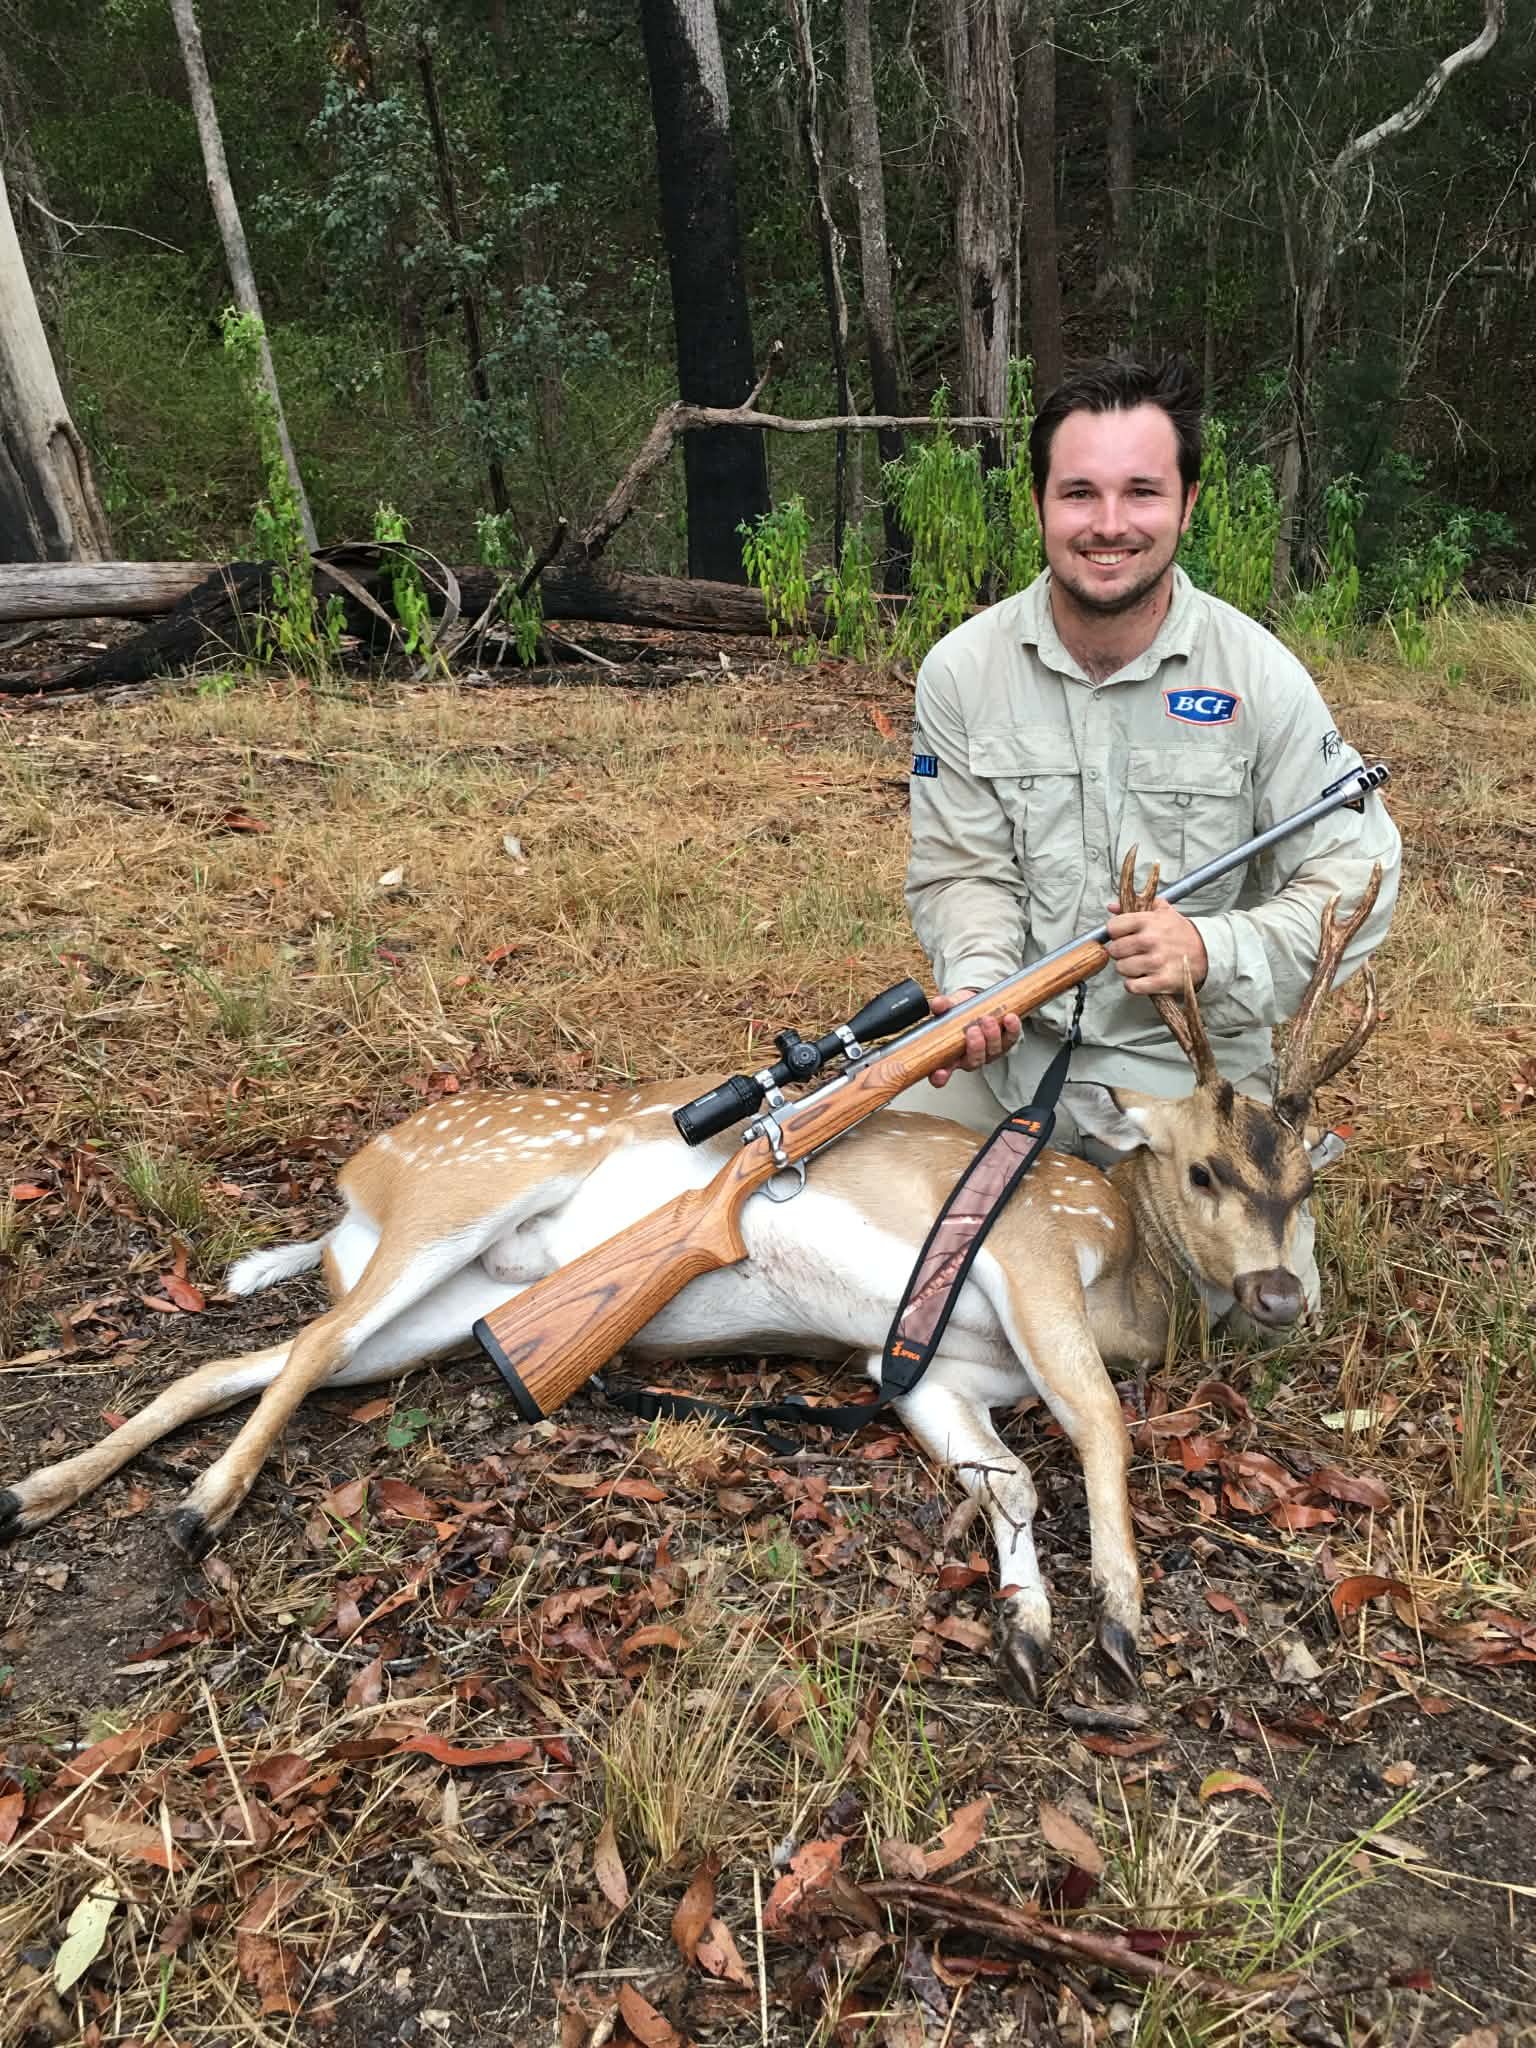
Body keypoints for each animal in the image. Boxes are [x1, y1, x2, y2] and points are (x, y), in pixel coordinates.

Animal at [0, 860, 1381, 1702]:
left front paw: (1030, 1629)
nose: (1280, 1297)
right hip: (454, 1204)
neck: (1127, 1274)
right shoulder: (1031, 1248)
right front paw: (1121, 1625)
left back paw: (39, 1492)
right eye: (1201, 1167)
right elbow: (1096, 1422)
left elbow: (1004, 1480)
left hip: (456, 1312)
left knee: (255, 1351)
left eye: (1305, 1185)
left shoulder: (920, 1362)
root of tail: (356, 1177)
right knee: (299, 1346)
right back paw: (194, 1512)